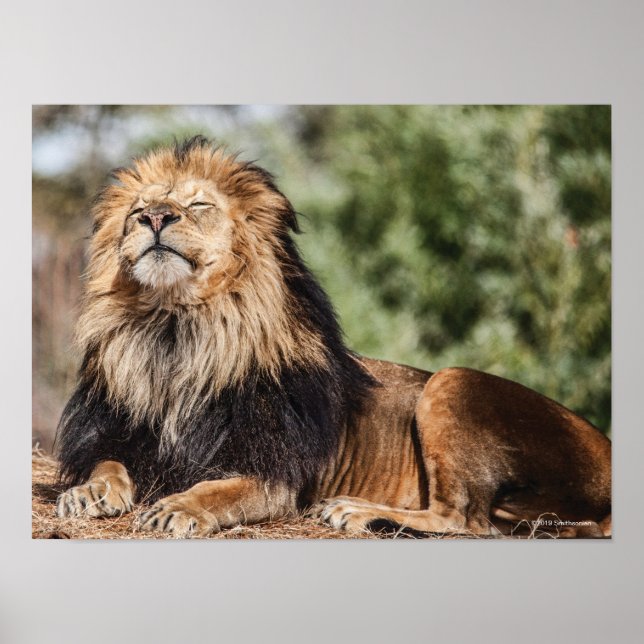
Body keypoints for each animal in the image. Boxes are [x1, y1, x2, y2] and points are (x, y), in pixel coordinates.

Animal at [55, 136, 612, 538]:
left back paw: (356, 512)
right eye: (137, 211)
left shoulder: (274, 474)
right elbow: (107, 461)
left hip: (452, 380)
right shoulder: (121, 434)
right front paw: (88, 492)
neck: (178, 334)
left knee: (466, 520)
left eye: (197, 204)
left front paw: (178, 508)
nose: (153, 217)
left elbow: (218, 490)